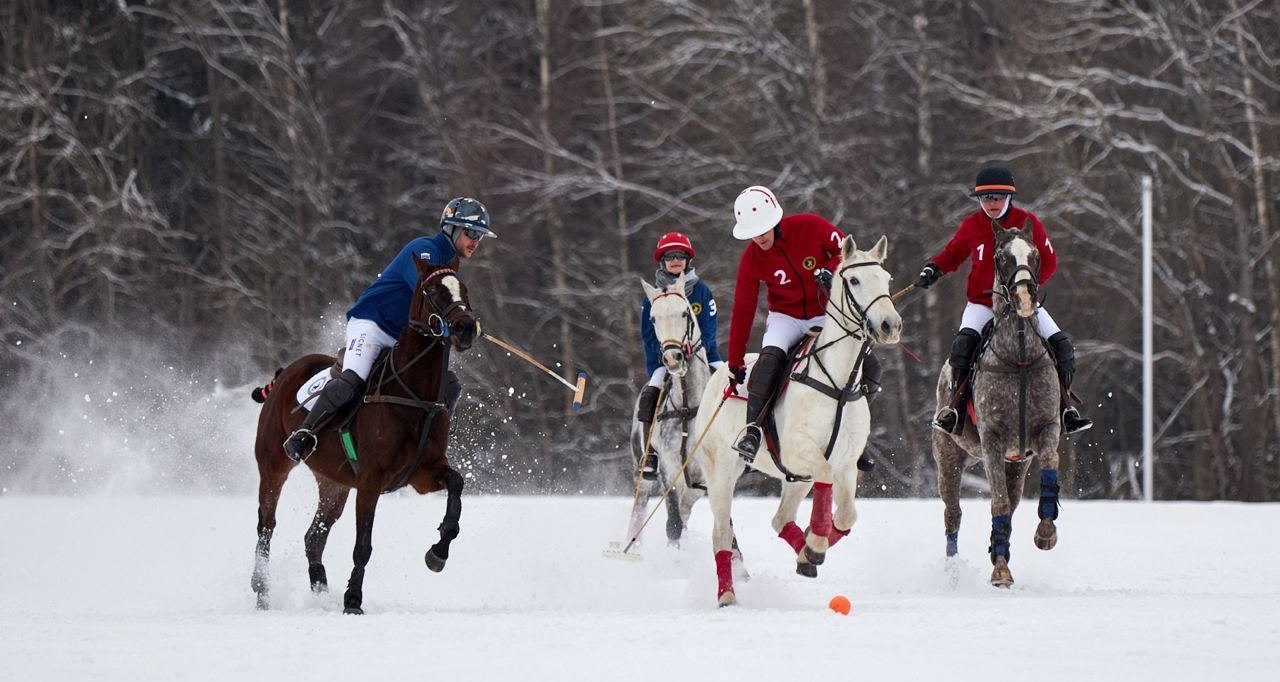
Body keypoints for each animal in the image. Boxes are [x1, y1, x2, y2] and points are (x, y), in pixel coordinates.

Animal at [248, 258, 476, 614]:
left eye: (463, 289)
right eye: (434, 291)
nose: (467, 327)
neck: (414, 393)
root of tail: (284, 372)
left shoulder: (423, 473)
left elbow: (457, 485)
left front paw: (437, 553)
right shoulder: (371, 479)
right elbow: (363, 545)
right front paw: (353, 600)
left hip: (333, 482)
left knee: (314, 537)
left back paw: (320, 594)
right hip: (273, 464)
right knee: (266, 526)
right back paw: (262, 592)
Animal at [691, 235, 901, 606]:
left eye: (887, 279)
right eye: (855, 280)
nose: (890, 326)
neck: (839, 383)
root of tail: (718, 377)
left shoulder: (846, 461)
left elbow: (846, 515)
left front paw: (810, 550)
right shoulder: (799, 449)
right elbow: (827, 484)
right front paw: (814, 545)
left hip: (796, 477)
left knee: (779, 518)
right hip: (721, 472)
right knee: (721, 533)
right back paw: (727, 595)